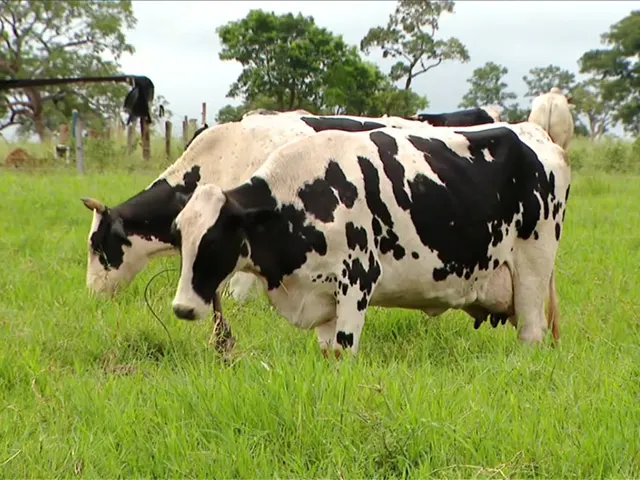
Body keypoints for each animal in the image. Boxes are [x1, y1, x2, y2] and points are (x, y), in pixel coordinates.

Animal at [170, 121, 568, 356]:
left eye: (213, 242)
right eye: (181, 238)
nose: (182, 308)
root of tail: (536, 134)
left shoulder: (357, 279)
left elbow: (344, 351)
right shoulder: (320, 295)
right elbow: (327, 352)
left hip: (532, 271)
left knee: (531, 335)